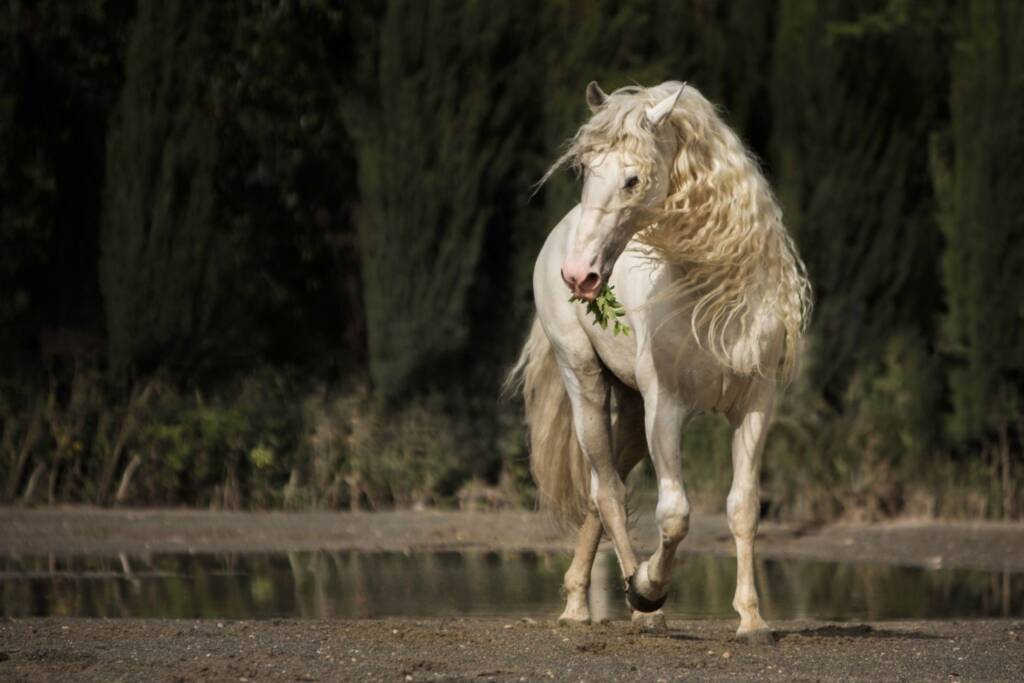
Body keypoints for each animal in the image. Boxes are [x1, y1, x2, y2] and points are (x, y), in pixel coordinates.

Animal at [507, 80, 811, 642]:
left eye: (633, 179)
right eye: (585, 170)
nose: (579, 275)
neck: (713, 295)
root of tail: (558, 237)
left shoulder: (755, 407)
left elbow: (743, 509)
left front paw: (753, 620)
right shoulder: (666, 408)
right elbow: (675, 515)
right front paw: (649, 587)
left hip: (630, 407)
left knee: (602, 492)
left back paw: (581, 603)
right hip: (586, 382)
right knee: (606, 489)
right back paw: (640, 606)